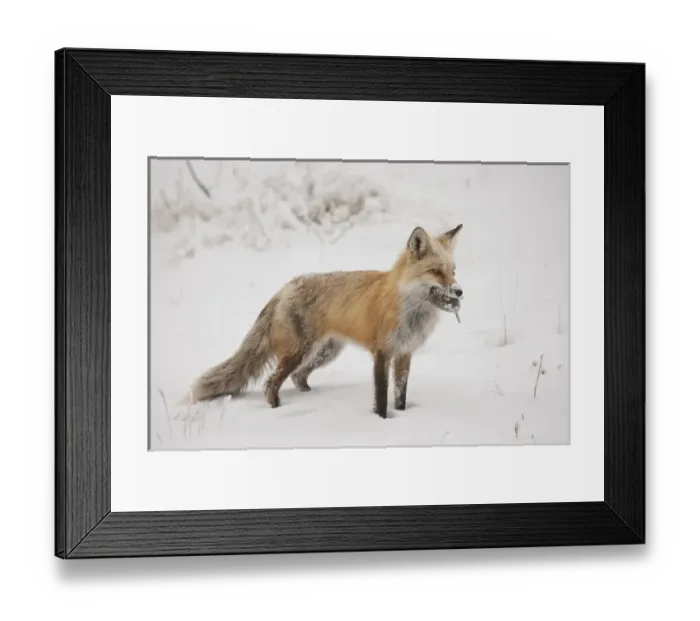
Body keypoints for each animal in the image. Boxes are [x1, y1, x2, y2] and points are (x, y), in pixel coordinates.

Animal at [188, 223, 464, 418]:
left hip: (324, 352)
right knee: (271, 382)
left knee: (298, 377)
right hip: (299, 351)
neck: (410, 310)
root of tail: (286, 286)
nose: (460, 292)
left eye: (453, 271)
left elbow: (400, 396)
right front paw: (382, 421)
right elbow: (382, 396)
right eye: (436, 272)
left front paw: (403, 416)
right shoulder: (382, 352)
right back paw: (277, 409)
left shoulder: (405, 353)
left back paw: (312, 398)